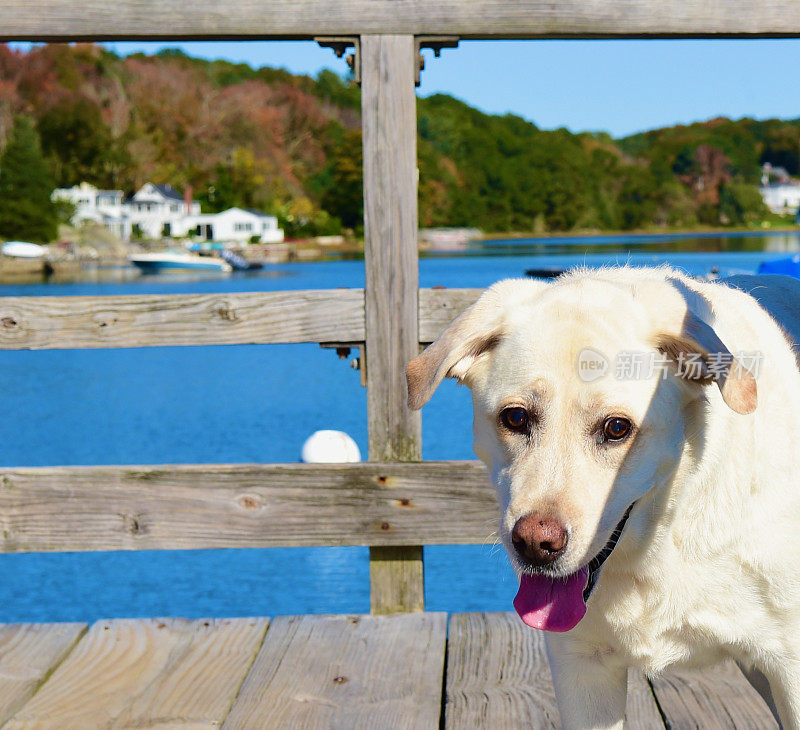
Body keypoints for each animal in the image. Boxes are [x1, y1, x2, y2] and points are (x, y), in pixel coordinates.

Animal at [406, 268, 800, 728]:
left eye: (616, 428)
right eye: (516, 417)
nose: (536, 544)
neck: (660, 541)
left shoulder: (789, 664)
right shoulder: (580, 668)